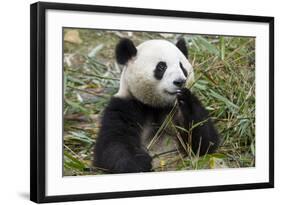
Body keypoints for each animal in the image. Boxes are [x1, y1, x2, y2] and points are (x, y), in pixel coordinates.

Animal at [93, 38, 219, 173]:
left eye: (182, 66)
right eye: (161, 66)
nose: (180, 81)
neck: (155, 106)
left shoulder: (173, 111)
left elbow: (204, 142)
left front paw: (186, 99)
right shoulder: (125, 106)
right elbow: (113, 145)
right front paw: (140, 162)